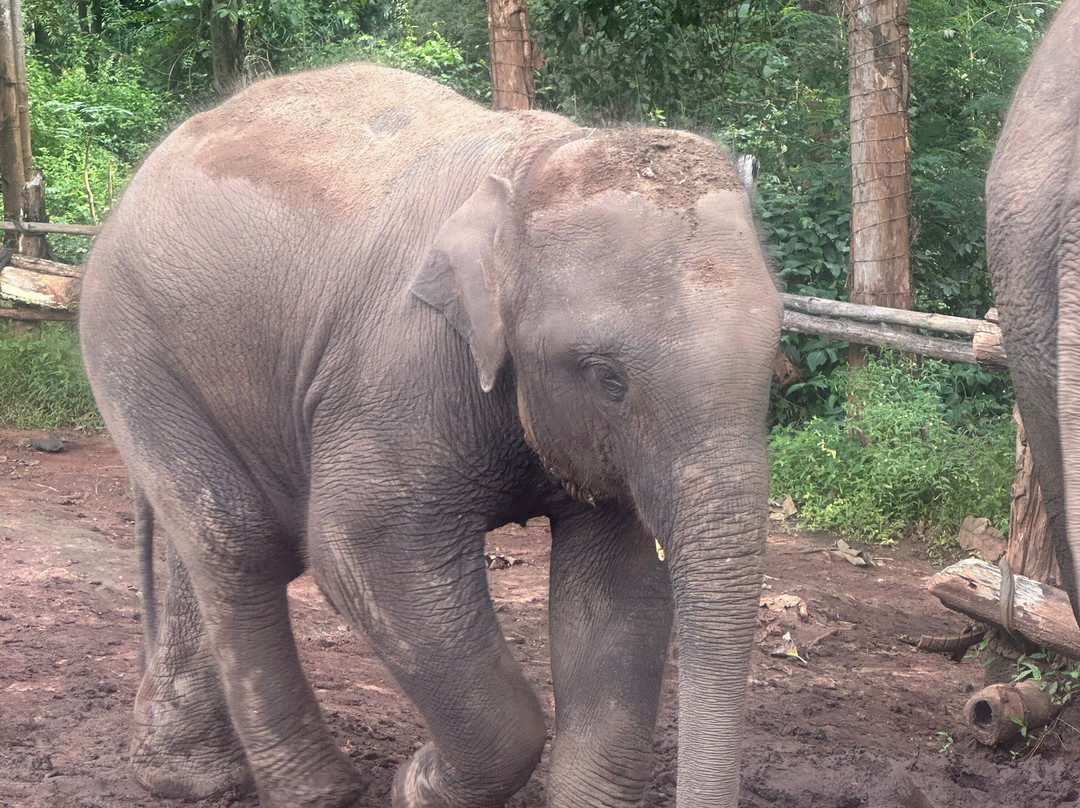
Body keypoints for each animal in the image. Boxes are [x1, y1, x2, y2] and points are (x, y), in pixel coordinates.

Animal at [79, 63, 781, 808]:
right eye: (607, 377)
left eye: (776, 359)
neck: (534, 169)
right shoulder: (399, 370)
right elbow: (358, 547)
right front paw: (414, 784)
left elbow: (617, 584)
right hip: (130, 343)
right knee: (240, 544)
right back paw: (319, 791)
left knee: (211, 543)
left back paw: (187, 777)